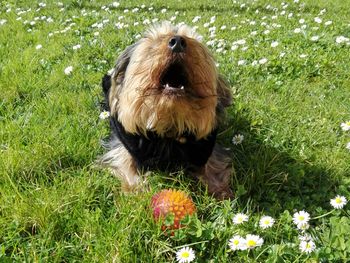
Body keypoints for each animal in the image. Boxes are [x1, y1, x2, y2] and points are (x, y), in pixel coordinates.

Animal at [100, 22, 234, 200]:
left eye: (191, 39)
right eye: (155, 41)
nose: (177, 42)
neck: (169, 126)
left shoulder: (205, 147)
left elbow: (213, 164)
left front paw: (221, 191)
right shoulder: (123, 144)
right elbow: (125, 162)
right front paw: (137, 190)